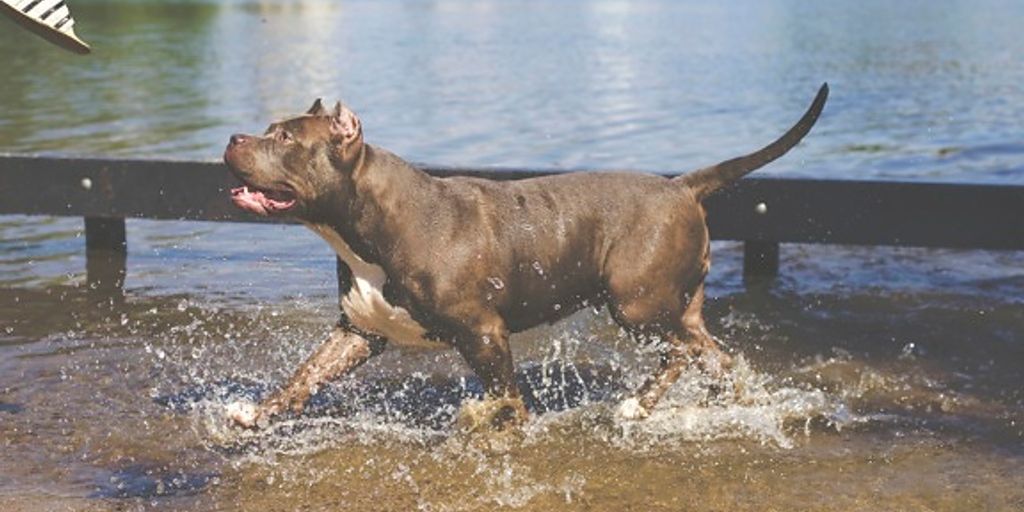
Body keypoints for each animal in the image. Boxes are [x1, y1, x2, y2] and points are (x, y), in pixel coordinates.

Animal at [220, 83, 827, 428]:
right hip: (675, 307)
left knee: (679, 352)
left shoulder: (485, 332)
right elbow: (305, 375)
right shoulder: (359, 331)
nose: (232, 137)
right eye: (267, 130)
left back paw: (636, 406)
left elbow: (504, 395)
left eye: (285, 139)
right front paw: (256, 412)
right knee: (711, 353)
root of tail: (681, 187)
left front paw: (497, 424)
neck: (366, 221)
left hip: (635, 305)